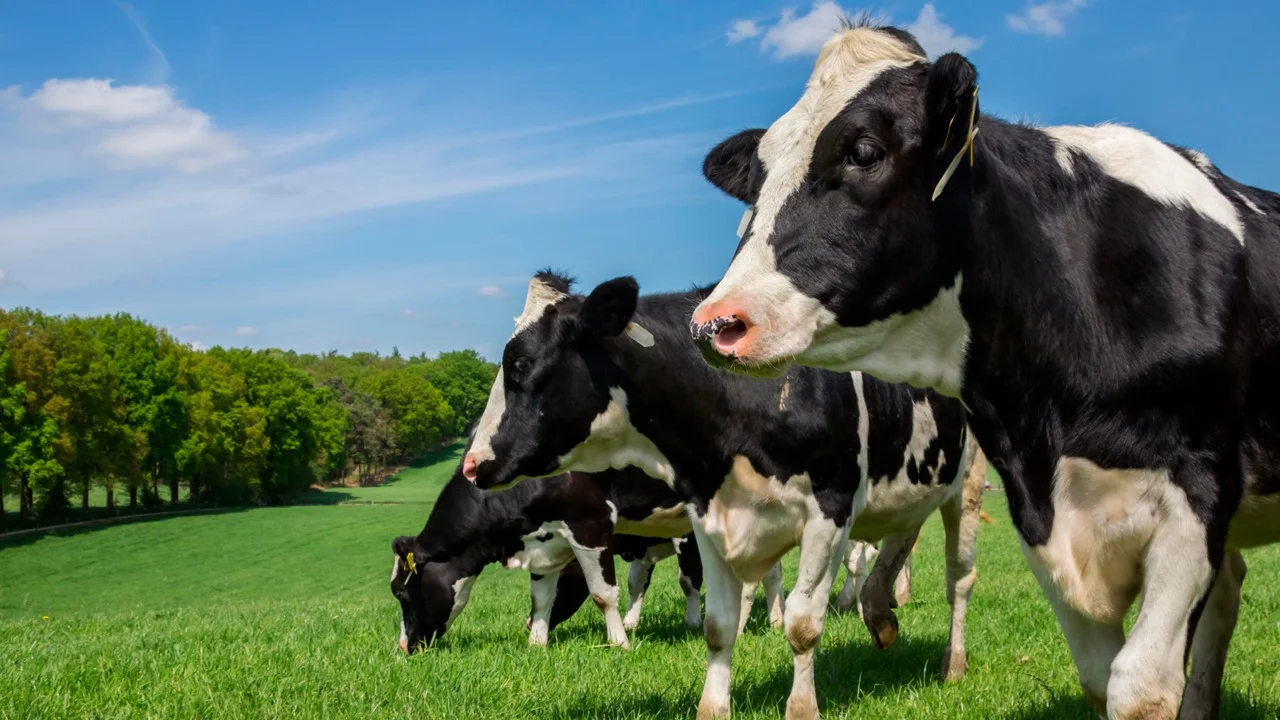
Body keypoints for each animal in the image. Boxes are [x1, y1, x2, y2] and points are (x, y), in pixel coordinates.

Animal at [459, 272, 985, 720]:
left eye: (521, 364)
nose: (471, 464)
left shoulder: (830, 510)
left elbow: (802, 625)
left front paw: (802, 708)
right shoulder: (707, 515)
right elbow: (718, 626)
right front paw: (712, 708)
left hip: (969, 482)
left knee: (959, 579)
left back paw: (953, 664)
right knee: (902, 537)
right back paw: (880, 615)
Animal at [689, 19, 1280, 720]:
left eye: (863, 151)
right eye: (758, 174)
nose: (716, 323)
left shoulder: (1195, 498)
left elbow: (1137, 688)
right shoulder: (1038, 512)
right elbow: (1099, 676)